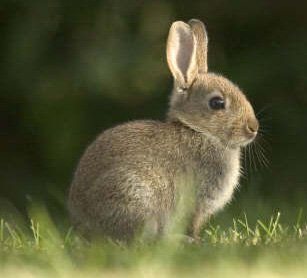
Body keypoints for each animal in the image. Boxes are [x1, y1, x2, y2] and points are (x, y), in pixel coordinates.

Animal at [68, 19, 258, 241]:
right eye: (217, 103)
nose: (253, 128)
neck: (199, 131)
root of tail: (83, 224)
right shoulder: (196, 203)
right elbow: (192, 224)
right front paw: (196, 240)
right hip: (136, 195)